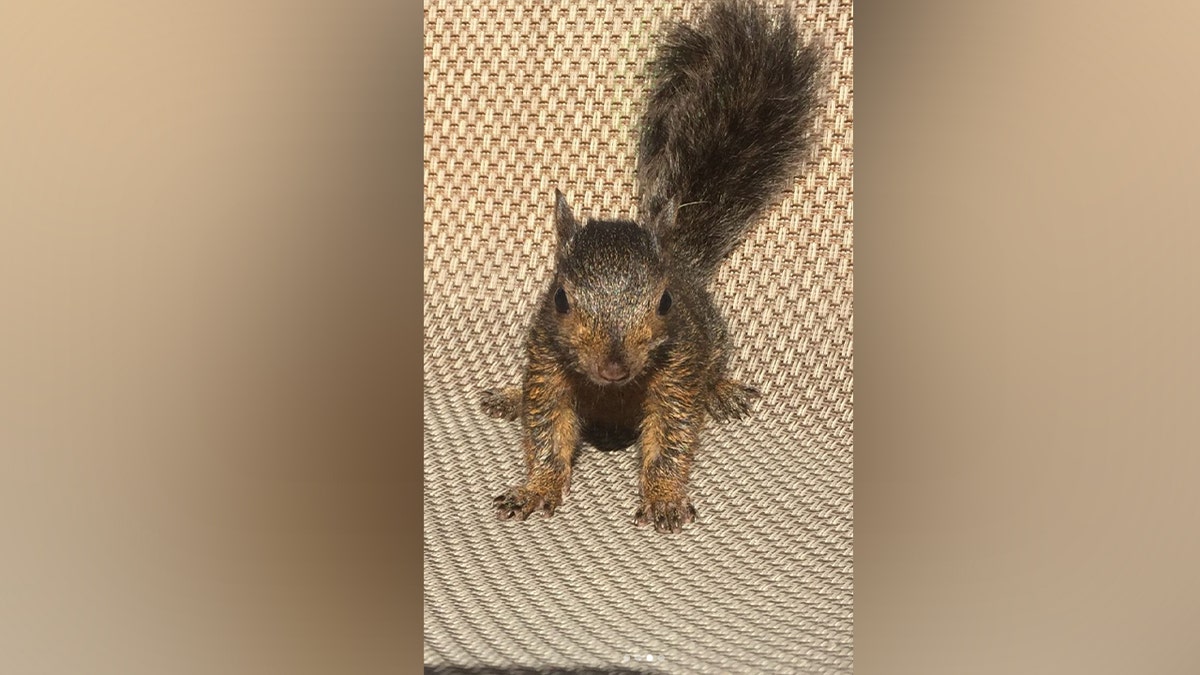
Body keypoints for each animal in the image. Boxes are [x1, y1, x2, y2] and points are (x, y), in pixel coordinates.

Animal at [483, 0, 822, 533]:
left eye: (664, 302)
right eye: (559, 298)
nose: (614, 365)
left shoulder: (677, 371)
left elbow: (670, 438)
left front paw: (663, 498)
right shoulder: (547, 364)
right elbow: (546, 432)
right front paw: (534, 489)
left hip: (712, 337)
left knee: (713, 368)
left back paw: (721, 389)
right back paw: (509, 396)